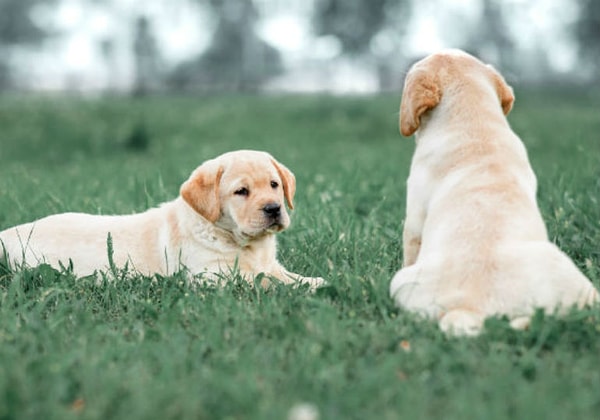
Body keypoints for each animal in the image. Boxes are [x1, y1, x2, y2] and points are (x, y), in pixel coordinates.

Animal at [0, 149, 324, 290]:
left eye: (274, 185)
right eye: (241, 191)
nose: (273, 209)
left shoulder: (271, 263)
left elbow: (284, 275)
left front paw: (315, 280)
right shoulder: (211, 275)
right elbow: (264, 280)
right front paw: (307, 288)